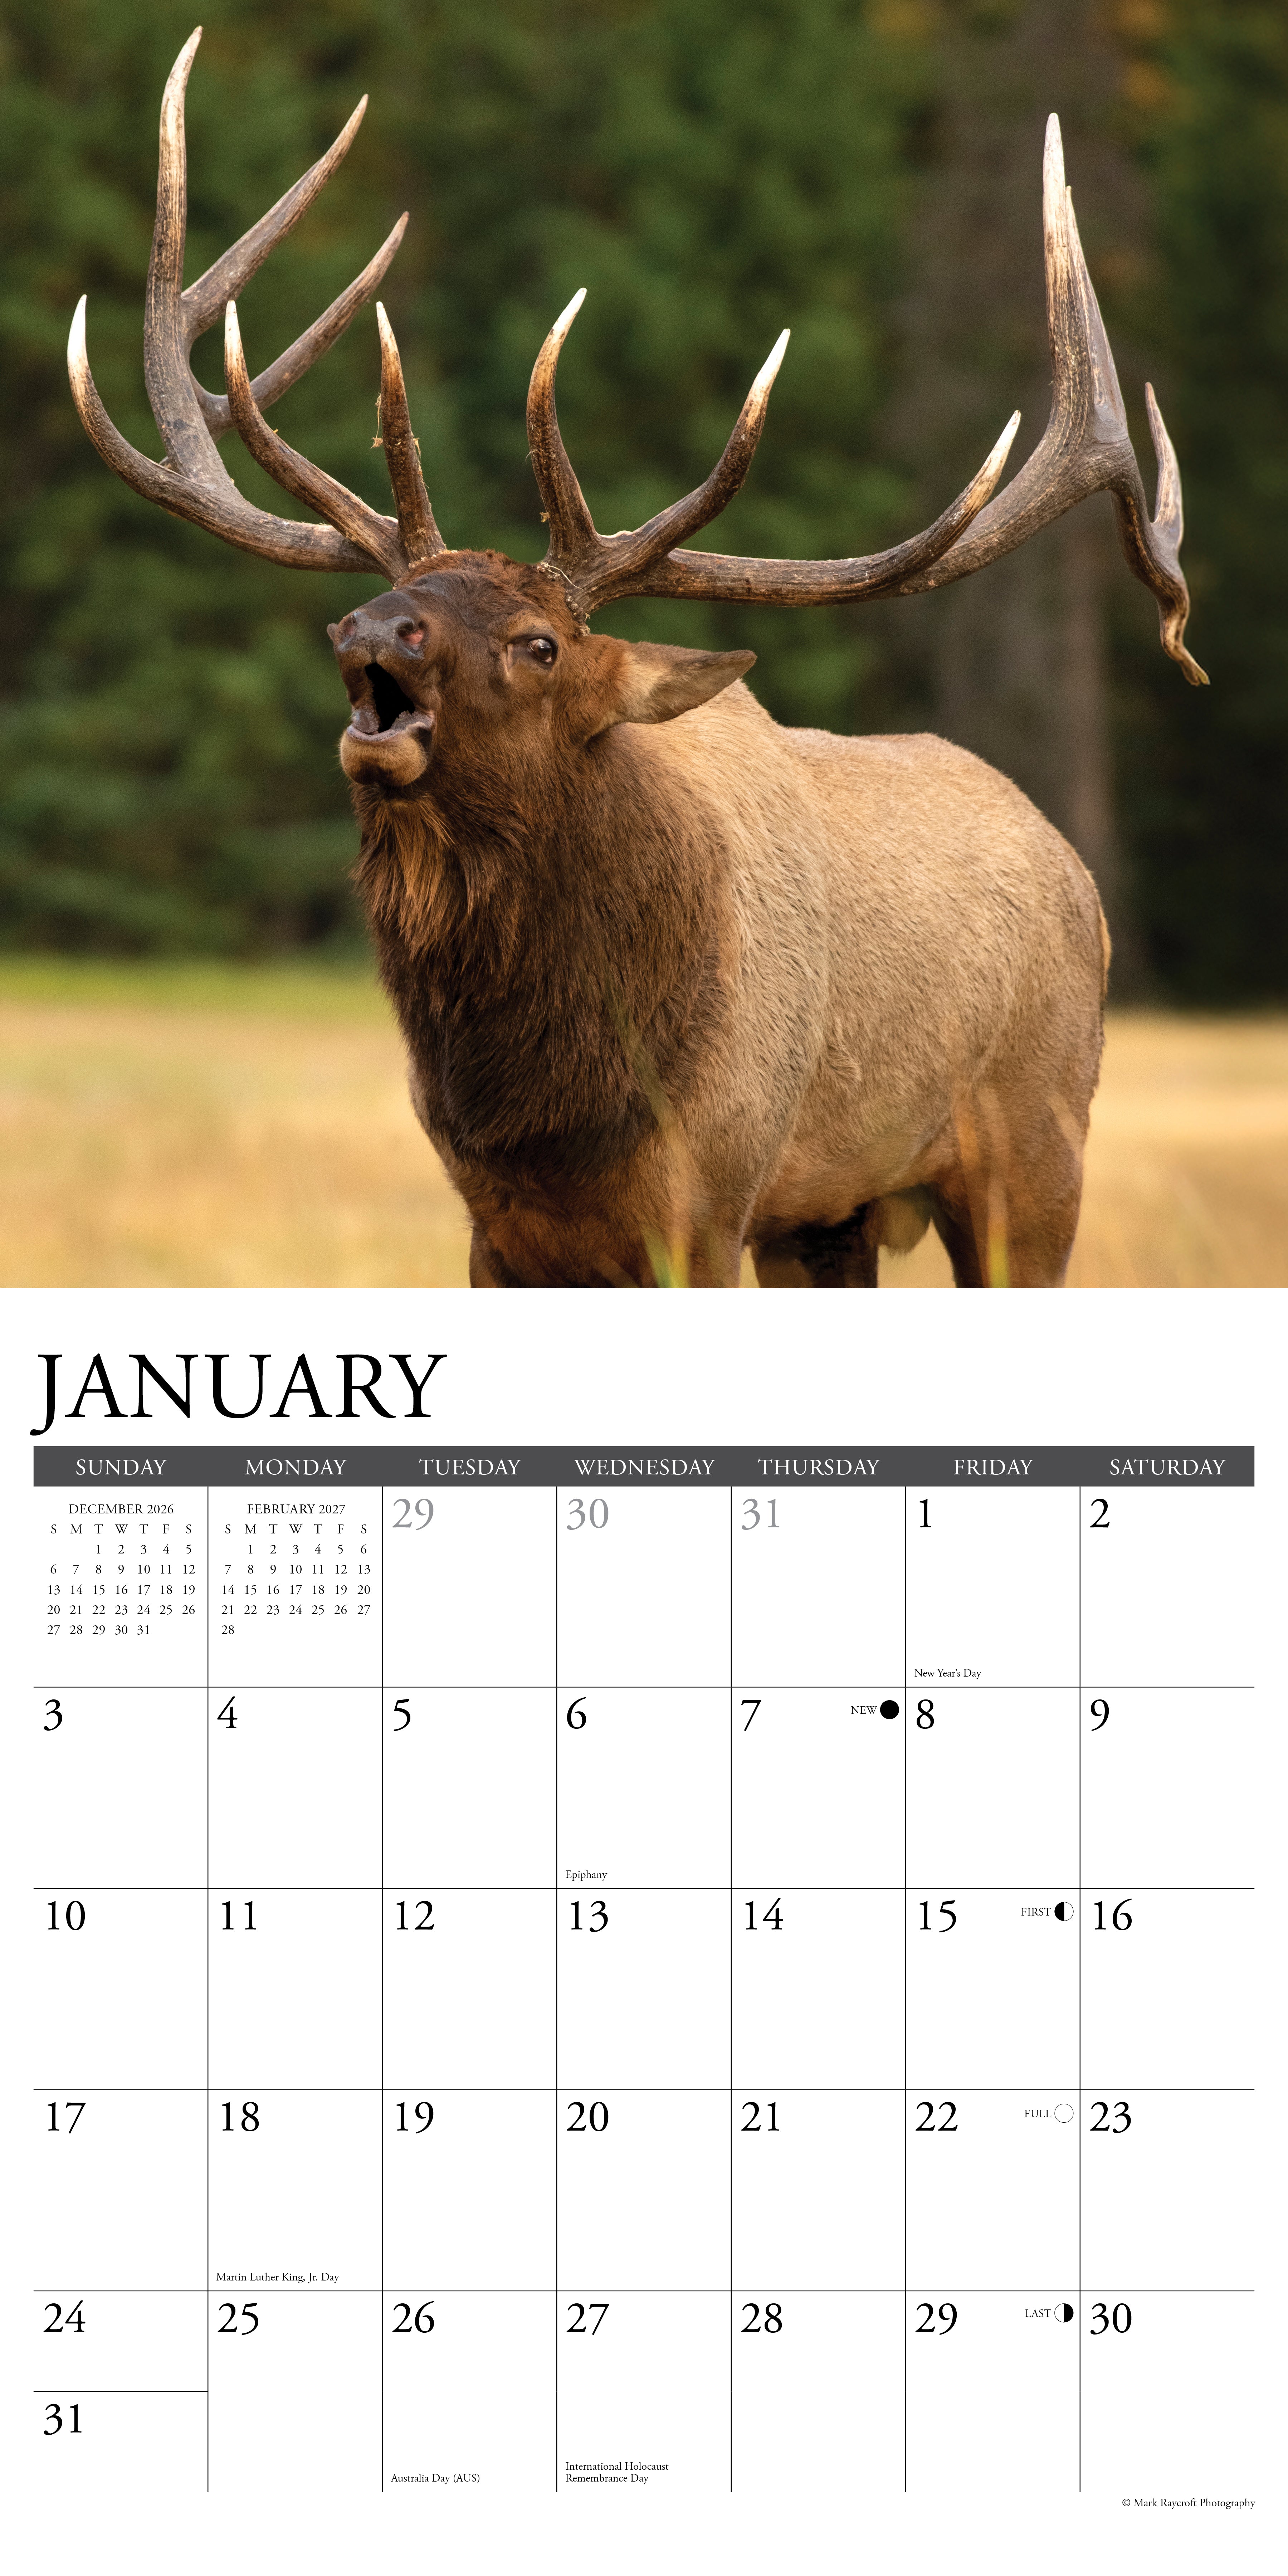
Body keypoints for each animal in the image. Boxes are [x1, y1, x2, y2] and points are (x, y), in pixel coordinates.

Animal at [70, 30, 1206, 1287]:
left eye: (541, 644)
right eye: (384, 598)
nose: (366, 632)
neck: (553, 1112)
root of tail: (1077, 878)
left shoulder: (705, 1203)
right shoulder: (498, 1231)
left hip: (1034, 1153)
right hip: (835, 1213)